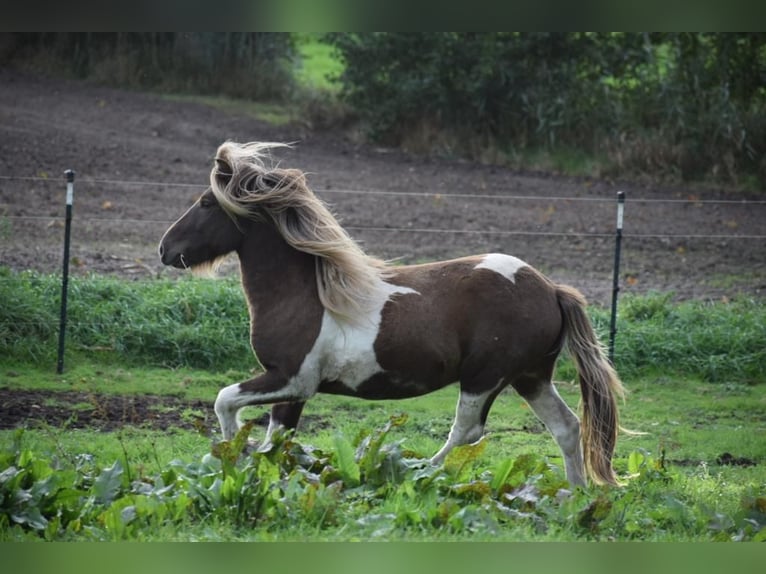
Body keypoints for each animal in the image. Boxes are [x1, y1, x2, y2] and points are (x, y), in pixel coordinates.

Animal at [158, 141, 625, 487]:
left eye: (206, 203)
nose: (165, 250)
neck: (303, 295)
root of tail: (550, 289)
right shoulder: (294, 391)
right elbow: (278, 439)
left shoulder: (292, 378)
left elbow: (224, 401)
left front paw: (234, 457)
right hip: (530, 377)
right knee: (567, 427)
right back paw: (575, 498)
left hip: (486, 376)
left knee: (468, 431)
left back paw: (417, 471)